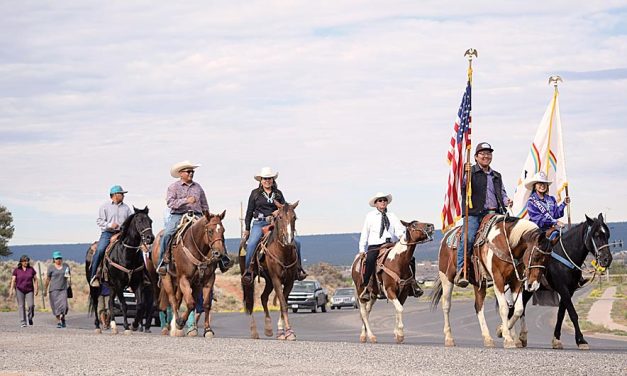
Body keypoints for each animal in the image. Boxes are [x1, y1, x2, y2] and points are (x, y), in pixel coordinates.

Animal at [87, 206, 155, 334]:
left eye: (150, 221)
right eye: (139, 221)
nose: (150, 238)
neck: (126, 253)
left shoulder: (136, 283)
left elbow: (140, 305)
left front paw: (134, 325)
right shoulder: (119, 283)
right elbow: (124, 305)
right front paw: (127, 327)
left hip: (111, 286)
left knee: (110, 302)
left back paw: (113, 326)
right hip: (95, 285)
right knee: (95, 302)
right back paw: (97, 326)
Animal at [240, 201, 300, 340]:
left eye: (294, 217)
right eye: (280, 217)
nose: (289, 240)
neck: (283, 252)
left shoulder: (289, 281)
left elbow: (283, 303)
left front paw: (283, 332)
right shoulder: (276, 279)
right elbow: (283, 303)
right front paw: (288, 332)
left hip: (269, 281)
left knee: (263, 297)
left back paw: (268, 328)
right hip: (250, 279)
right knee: (250, 302)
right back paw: (254, 332)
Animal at [432, 216, 556, 348]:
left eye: (548, 259)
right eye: (536, 255)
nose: (534, 285)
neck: (508, 243)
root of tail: (446, 238)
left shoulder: (515, 282)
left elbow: (518, 309)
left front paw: (502, 331)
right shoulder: (498, 280)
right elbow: (504, 308)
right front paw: (508, 338)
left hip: (479, 283)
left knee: (478, 306)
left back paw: (488, 338)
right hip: (446, 278)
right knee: (446, 305)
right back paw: (449, 338)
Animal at [502, 214, 616, 350]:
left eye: (607, 235)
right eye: (597, 235)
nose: (607, 259)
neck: (565, 254)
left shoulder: (569, 291)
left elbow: (561, 314)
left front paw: (556, 340)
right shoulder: (563, 289)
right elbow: (573, 313)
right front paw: (581, 340)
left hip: (528, 289)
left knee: (521, 307)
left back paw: (521, 337)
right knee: (514, 308)